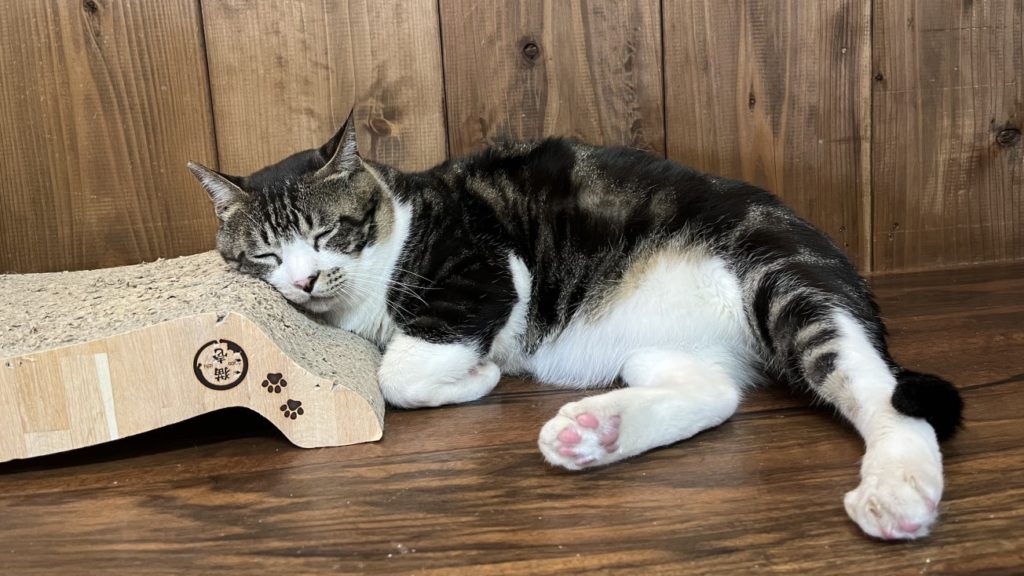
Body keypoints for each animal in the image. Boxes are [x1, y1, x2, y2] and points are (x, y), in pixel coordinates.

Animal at [188, 112, 962, 540]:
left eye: (327, 233)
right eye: (265, 255)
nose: (303, 281)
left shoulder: (485, 271)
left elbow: (398, 373)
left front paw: (477, 375)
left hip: (784, 280)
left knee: (883, 394)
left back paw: (898, 490)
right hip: (660, 351)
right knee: (716, 396)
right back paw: (597, 432)